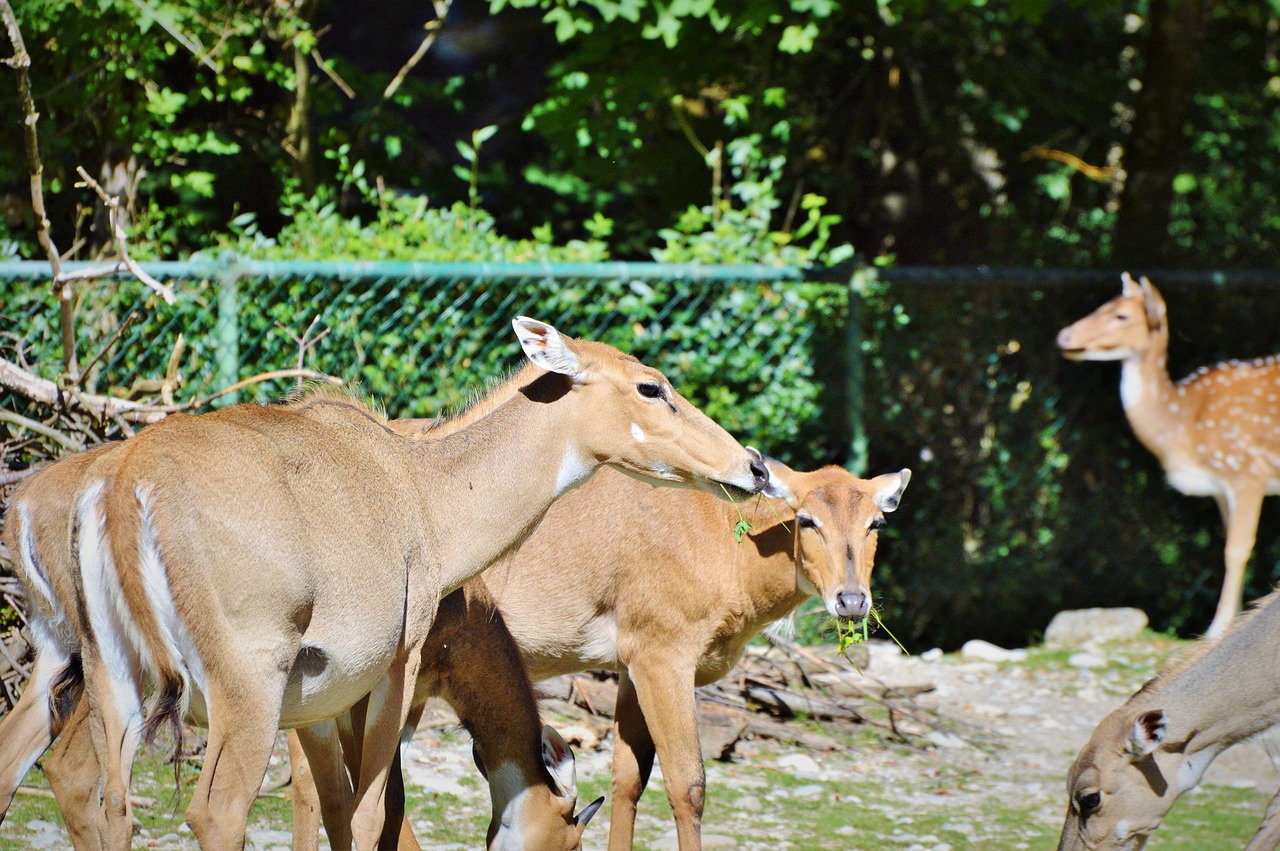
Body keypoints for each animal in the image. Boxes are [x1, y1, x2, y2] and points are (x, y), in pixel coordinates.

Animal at [64, 314, 762, 844]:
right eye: (651, 388)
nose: (752, 464)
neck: (424, 490)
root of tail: (129, 484)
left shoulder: (319, 703)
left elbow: (339, 807)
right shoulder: (397, 666)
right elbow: (373, 812)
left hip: (115, 680)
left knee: (106, 801)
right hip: (246, 690)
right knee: (216, 813)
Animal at [1054, 272, 1280, 637]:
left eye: (1122, 315)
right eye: (1103, 305)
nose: (1064, 336)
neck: (1182, 427)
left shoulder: (1246, 471)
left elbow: (1236, 548)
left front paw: (1215, 628)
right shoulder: (1220, 487)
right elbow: (1233, 546)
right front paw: (1232, 621)